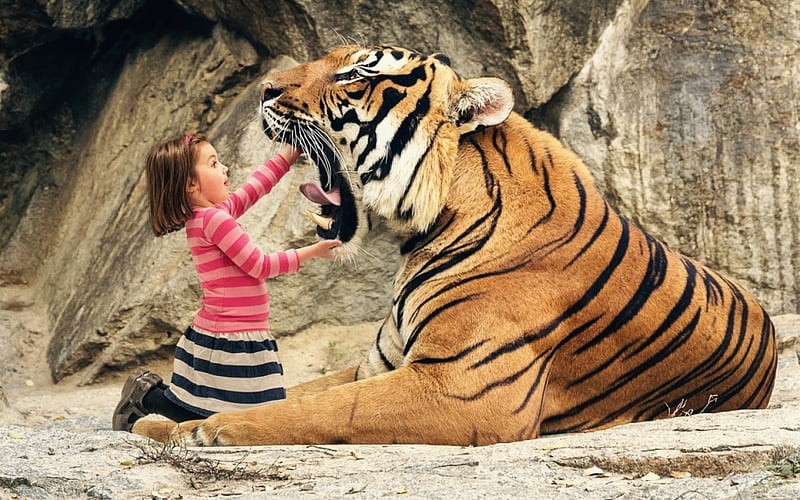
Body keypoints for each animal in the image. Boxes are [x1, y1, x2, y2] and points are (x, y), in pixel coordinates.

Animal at [134, 46, 780, 446]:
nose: (265, 89)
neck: (424, 231)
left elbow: (308, 408)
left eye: (354, 75)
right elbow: (291, 392)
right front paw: (159, 417)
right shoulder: (379, 364)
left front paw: (187, 429)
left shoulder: (461, 387)